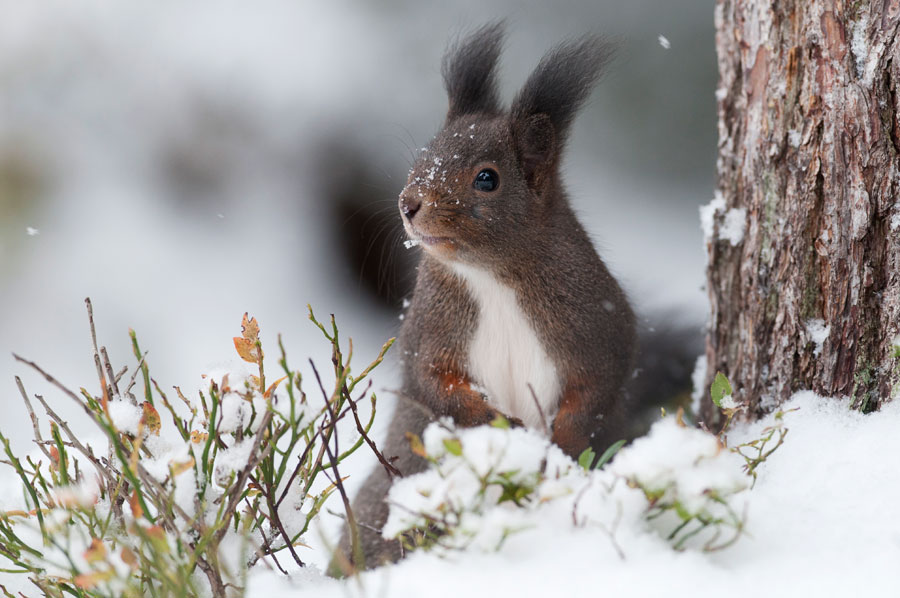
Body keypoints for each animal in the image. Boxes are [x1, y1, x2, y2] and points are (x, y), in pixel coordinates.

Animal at [332, 24, 640, 576]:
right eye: (421, 158)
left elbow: (596, 389)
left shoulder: (598, 326)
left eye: (487, 178)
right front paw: (502, 424)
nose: (409, 203)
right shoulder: (428, 332)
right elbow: (434, 384)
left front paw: (559, 444)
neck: (491, 279)